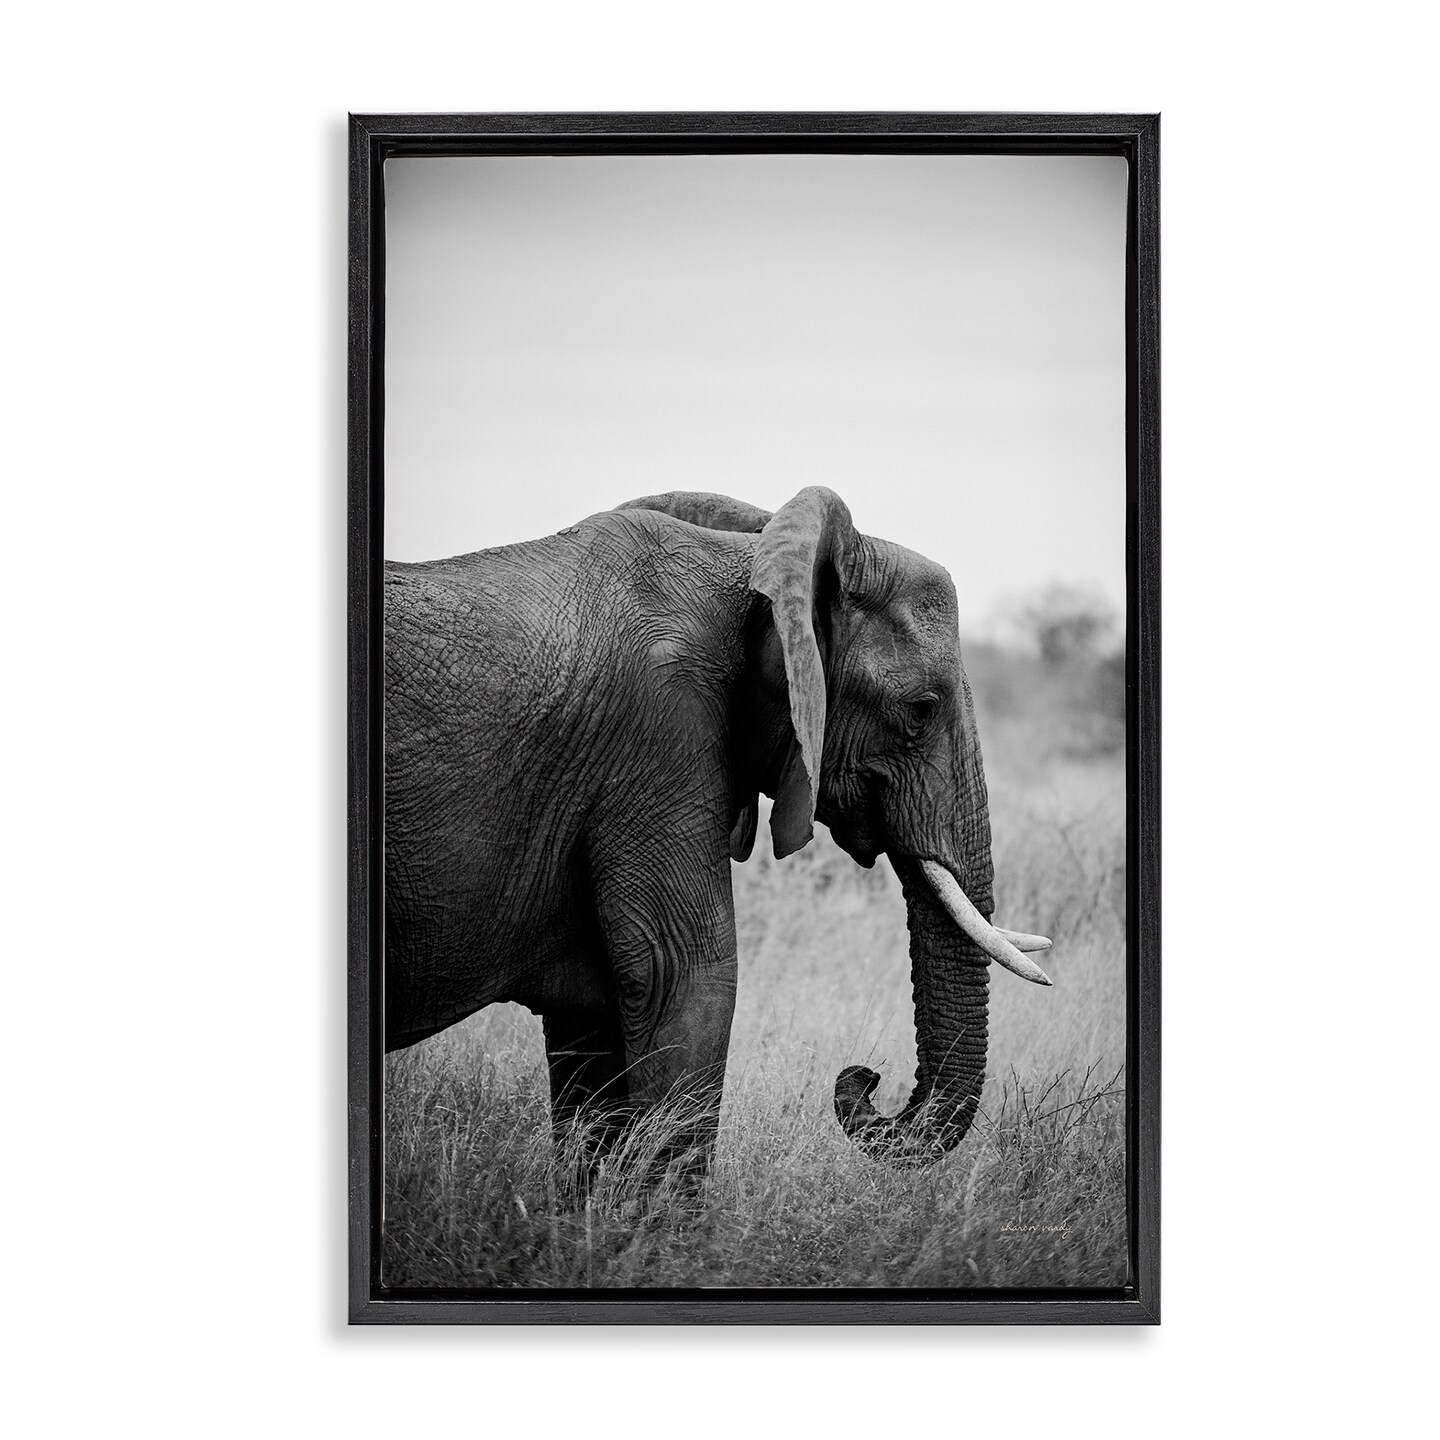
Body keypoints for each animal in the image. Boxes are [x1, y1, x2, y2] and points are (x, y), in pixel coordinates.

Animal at [382, 487, 1052, 1174]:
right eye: (919, 711)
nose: (865, 1077)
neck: (752, 572)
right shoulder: (659, 734)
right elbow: (682, 977)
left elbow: (595, 1012)